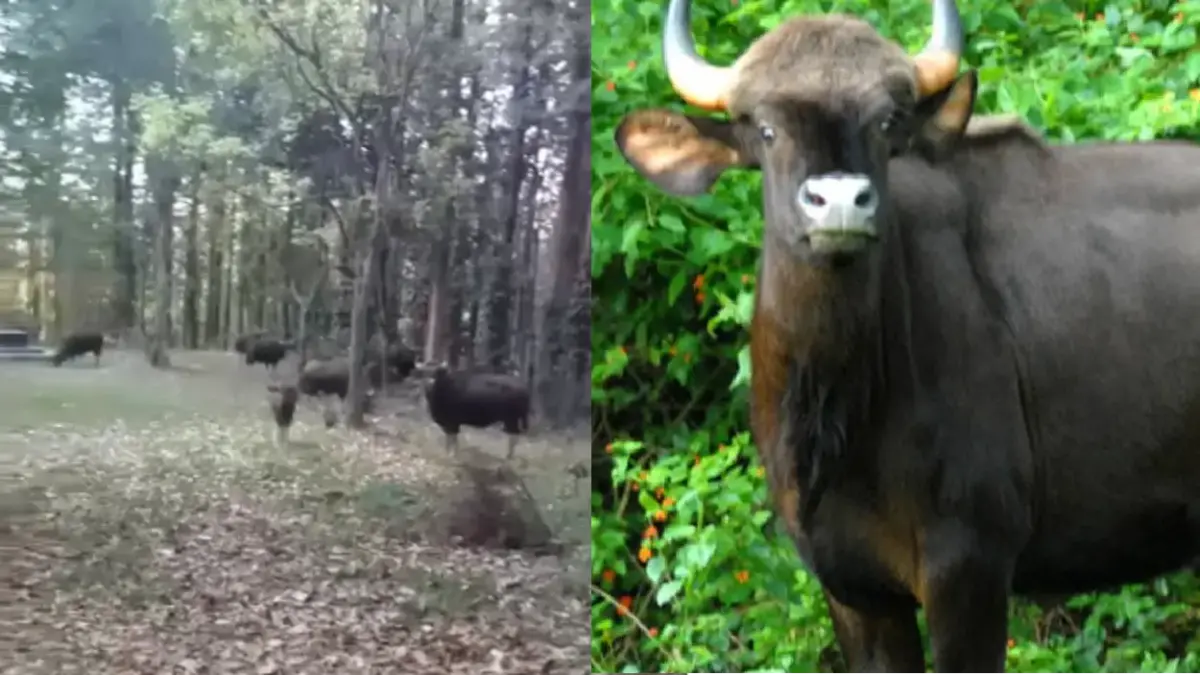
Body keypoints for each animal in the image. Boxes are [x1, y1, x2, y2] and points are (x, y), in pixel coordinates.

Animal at [614, 1, 1200, 672]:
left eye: (886, 120)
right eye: (763, 129)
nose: (840, 201)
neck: (844, 413)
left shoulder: (969, 566)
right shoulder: (853, 588)